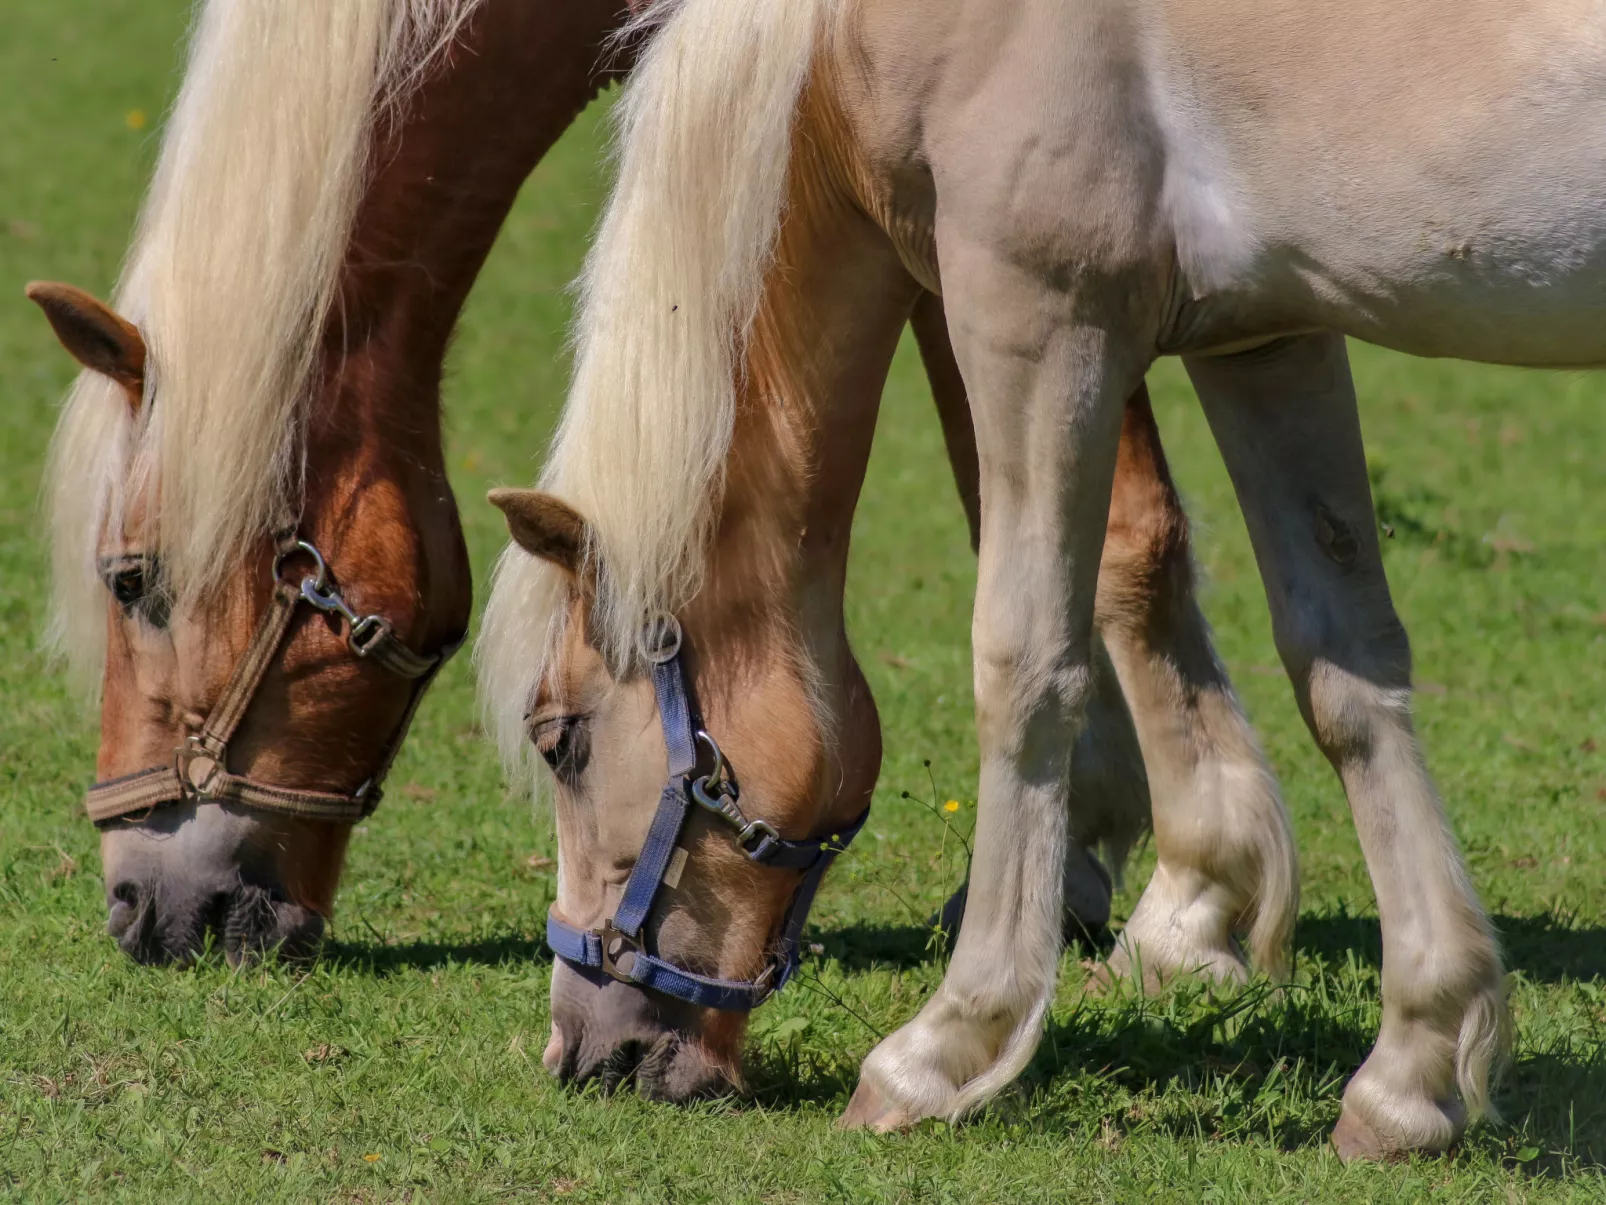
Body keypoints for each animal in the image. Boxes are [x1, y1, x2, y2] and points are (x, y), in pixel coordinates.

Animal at [481, 0, 1522, 1163]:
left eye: (557, 739)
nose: (581, 1055)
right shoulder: (1272, 329)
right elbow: (1344, 667)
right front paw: (1414, 1068)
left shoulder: (1037, 312)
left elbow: (1024, 665)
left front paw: (945, 1043)